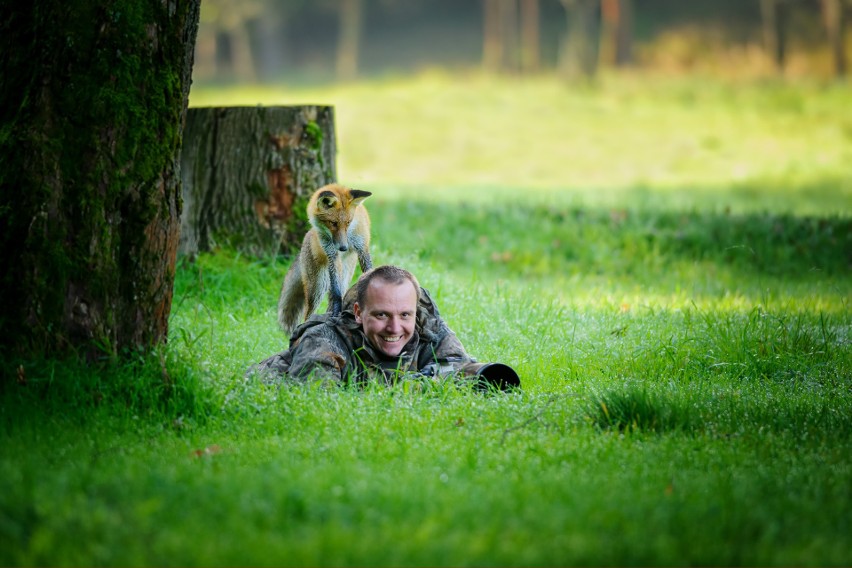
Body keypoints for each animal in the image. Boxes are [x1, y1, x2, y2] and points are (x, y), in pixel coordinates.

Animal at [280, 184, 372, 336]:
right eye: (333, 223)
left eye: (348, 222)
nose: (343, 247)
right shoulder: (331, 254)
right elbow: (337, 295)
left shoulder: (362, 247)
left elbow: (369, 271)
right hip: (318, 286)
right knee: (308, 314)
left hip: (344, 279)